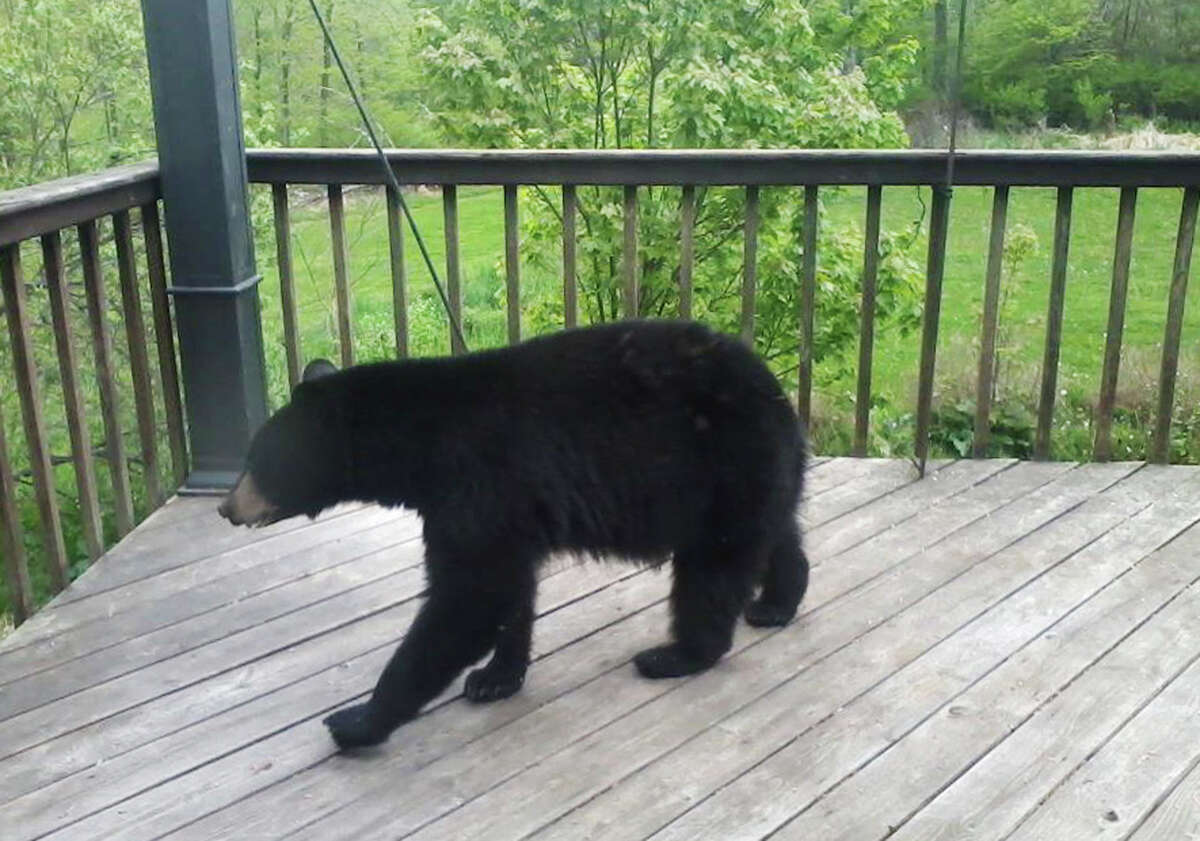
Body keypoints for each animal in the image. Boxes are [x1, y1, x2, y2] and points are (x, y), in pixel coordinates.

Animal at [220, 319, 811, 748]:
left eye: (256, 458)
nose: (227, 507)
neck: (420, 443)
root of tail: (776, 391)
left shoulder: (479, 482)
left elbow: (469, 597)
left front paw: (358, 720)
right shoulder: (504, 506)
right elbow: (509, 588)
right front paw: (496, 676)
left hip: (719, 464)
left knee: (713, 568)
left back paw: (678, 655)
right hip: (750, 473)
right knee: (775, 534)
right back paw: (776, 602)